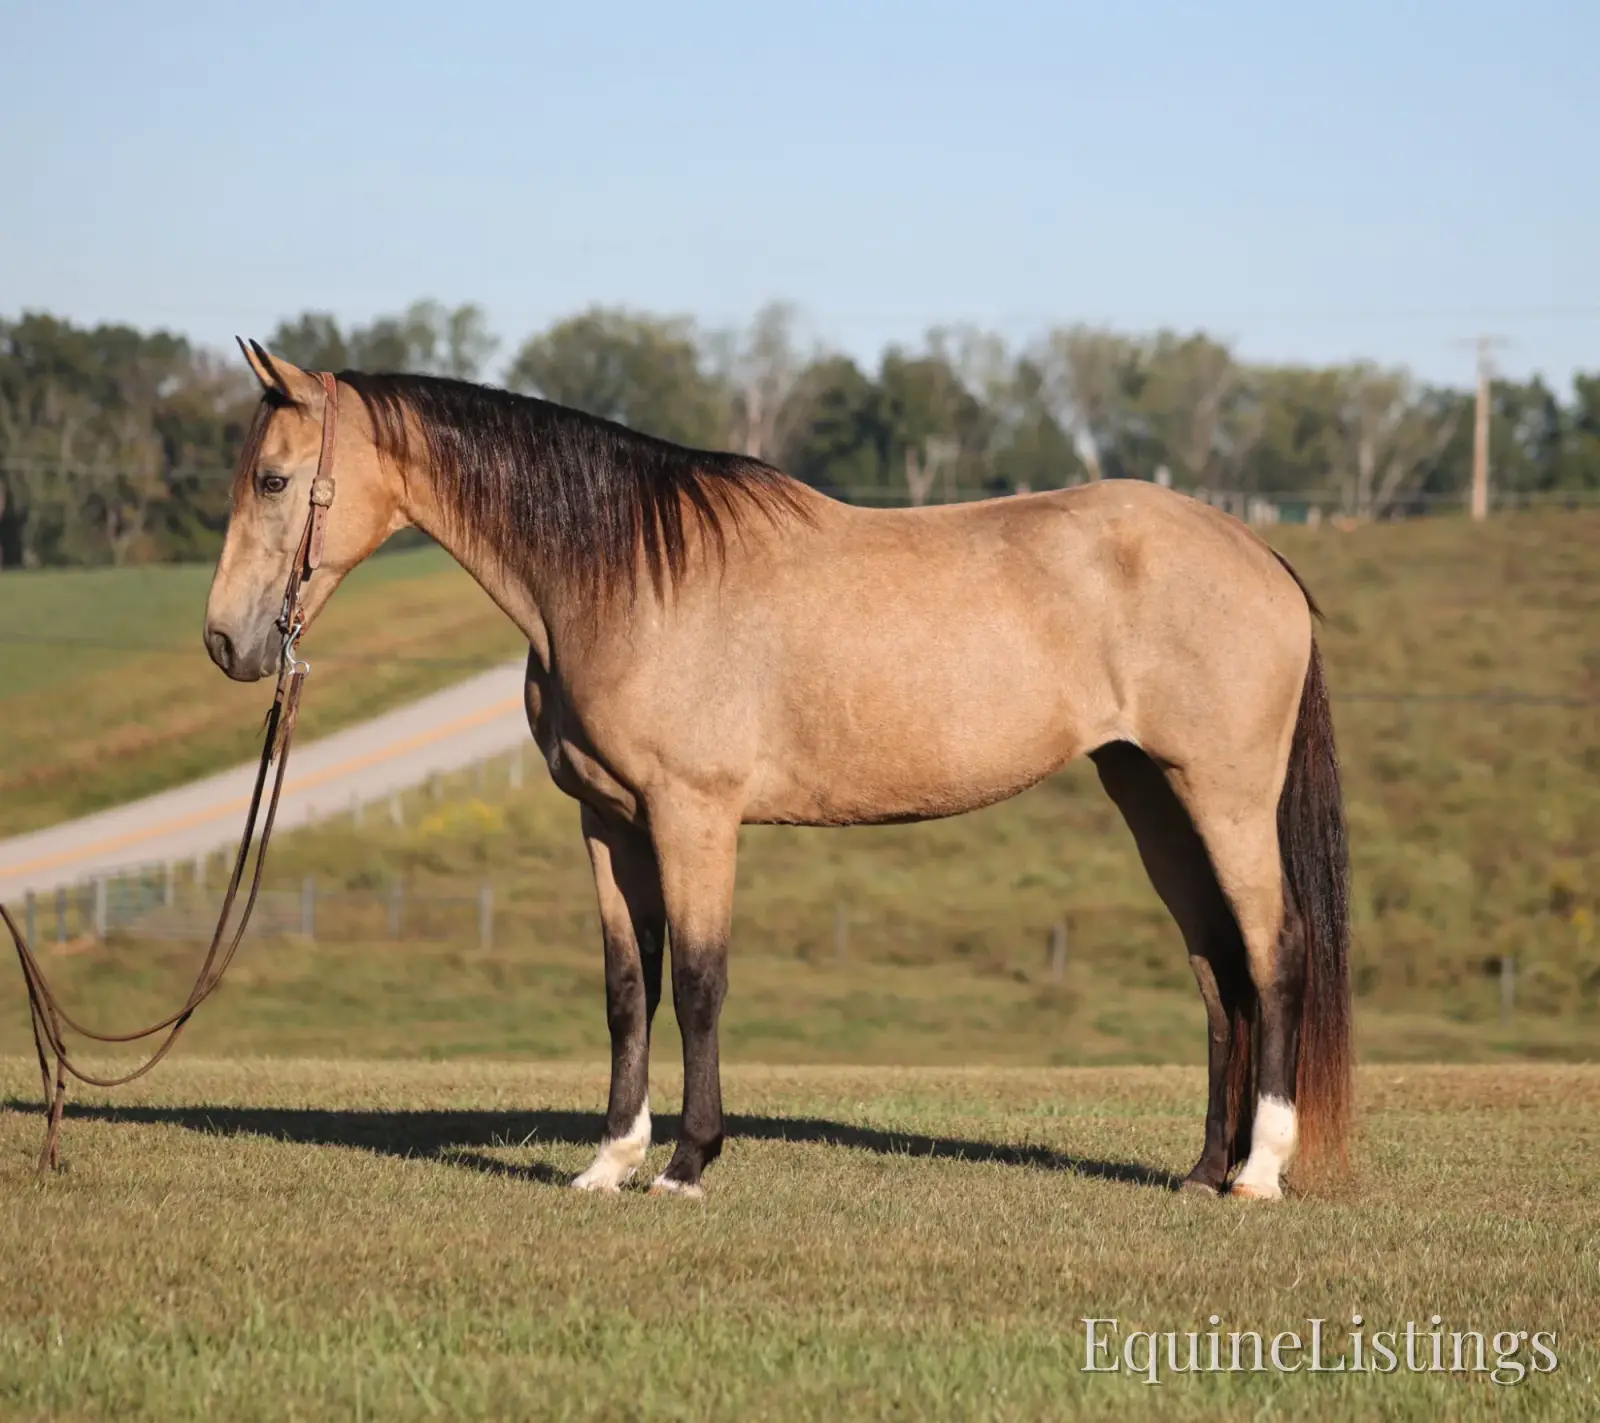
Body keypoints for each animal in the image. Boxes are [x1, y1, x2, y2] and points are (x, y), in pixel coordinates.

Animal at [204, 342, 1351, 1201]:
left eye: (273, 479)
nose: (226, 642)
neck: (625, 577)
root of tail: (1261, 555)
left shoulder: (694, 816)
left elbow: (700, 983)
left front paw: (686, 1162)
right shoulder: (609, 823)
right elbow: (629, 987)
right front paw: (609, 1160)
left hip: (1222, 798)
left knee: (1274, 949)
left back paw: (1259, 1170)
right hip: (1150, 795)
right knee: (1216, 966)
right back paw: (1202, 1169)